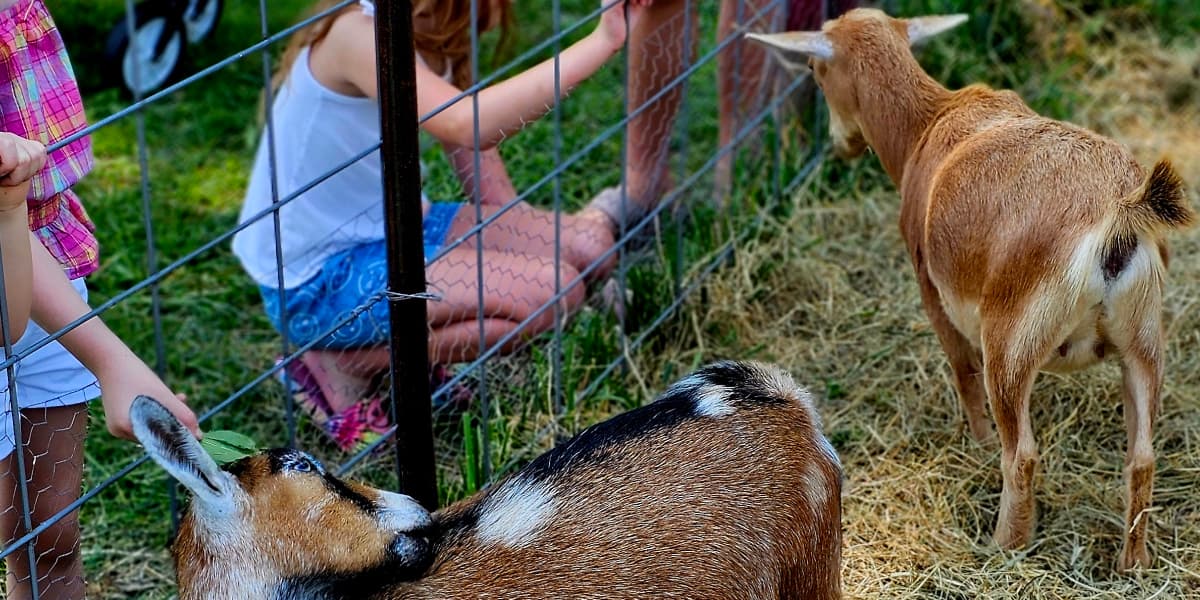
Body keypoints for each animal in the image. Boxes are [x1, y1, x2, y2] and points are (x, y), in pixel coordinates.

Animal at [747, 8, 1194, 572]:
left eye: (813, 67)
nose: (839, 145)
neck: (926, 127)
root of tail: (1121, 215)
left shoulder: (932, 288)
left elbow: (961, 369)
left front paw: (975, 442)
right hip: (1143, 341)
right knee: (1141, 458)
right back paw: (1131, 563)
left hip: (1012, 340)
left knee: (1021, 452)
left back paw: (1004, 544)